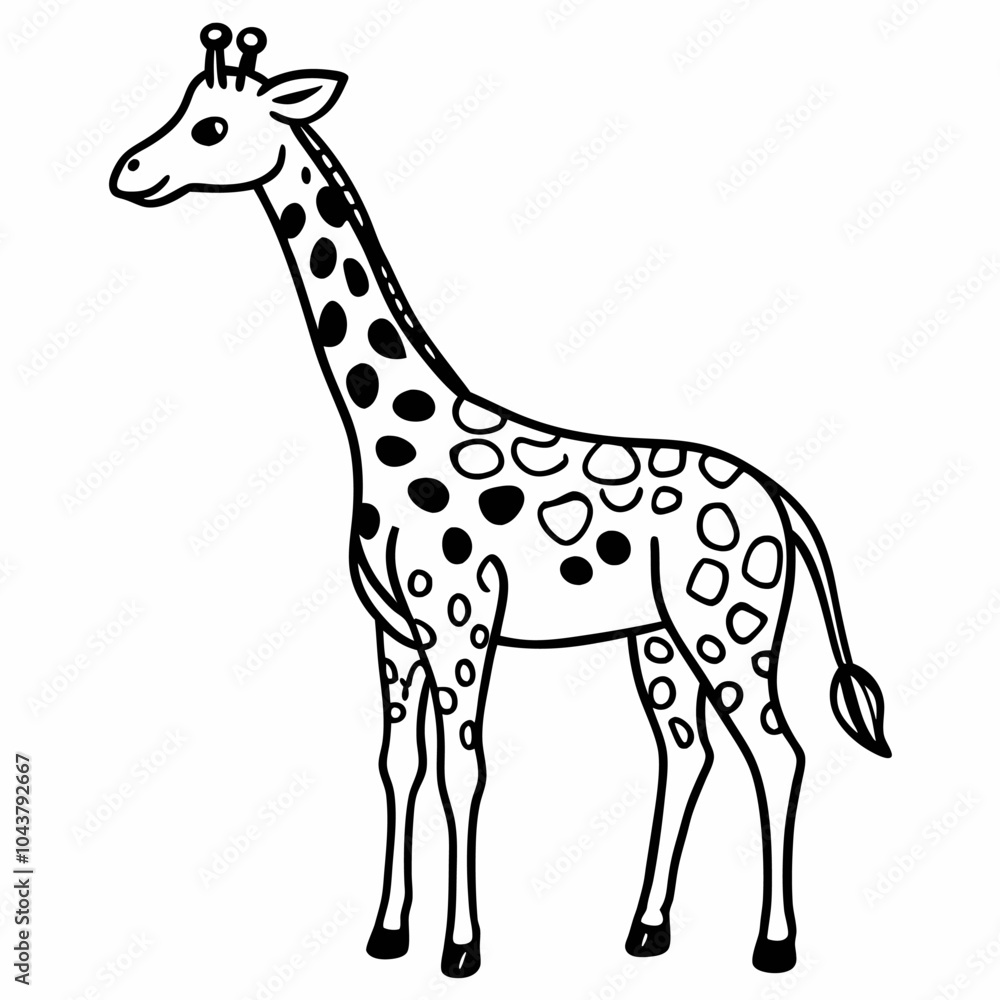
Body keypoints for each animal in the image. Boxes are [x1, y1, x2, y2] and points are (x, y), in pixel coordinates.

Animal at [110, 25, 891, 980]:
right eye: (184, 108)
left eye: (213, 126)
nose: (129, 171)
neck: (389, 428)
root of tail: (780, 501)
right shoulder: (394, 633)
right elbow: (397, 766)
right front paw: (387, 933)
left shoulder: (462, 621)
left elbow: (464, 772)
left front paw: (460, 949)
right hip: (660, 640)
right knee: (688, 754)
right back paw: (646, 931)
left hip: (730, 626)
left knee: (778, 753)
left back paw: (772, 946)